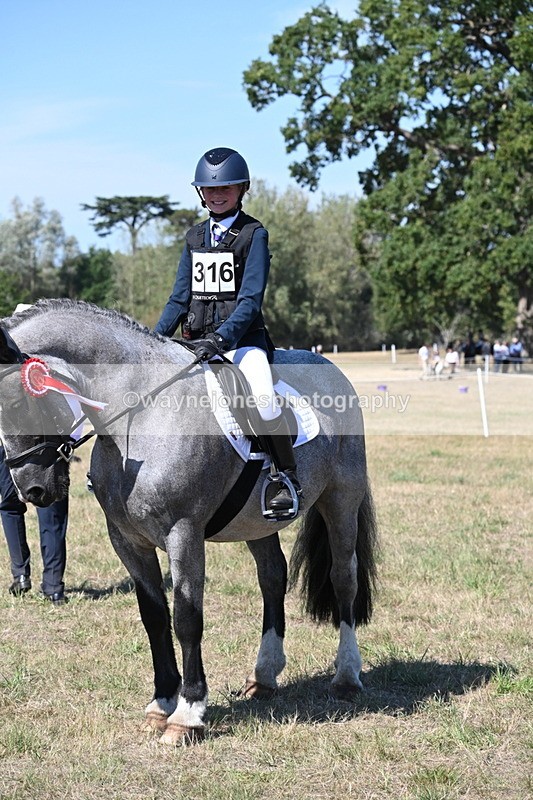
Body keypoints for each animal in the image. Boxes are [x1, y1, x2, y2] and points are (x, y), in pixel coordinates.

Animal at [0, 299, 378, 744]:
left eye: (18, 404)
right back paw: (264, 677)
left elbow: (186, 617)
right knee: (272, 577)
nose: (34, 490)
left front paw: (188, 713)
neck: (140, 416)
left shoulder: (184, 533)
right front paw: (161, 703)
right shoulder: (127, 540)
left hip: (341, 500)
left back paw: (347, 676)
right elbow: (154, 617)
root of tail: (331, 367)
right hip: (257, 523)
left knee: (343, 578)